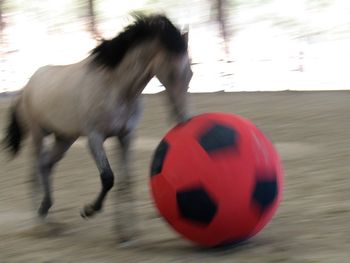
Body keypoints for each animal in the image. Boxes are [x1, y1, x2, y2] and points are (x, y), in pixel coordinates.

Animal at [1, 14, 193, 243]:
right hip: (39, 134)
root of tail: (26, 87)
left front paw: (126, 233)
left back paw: (47, 214)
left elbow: (127, 181)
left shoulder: (126, 137)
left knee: (46, 165)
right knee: (35, 171)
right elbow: (108, 178)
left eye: (190, 73)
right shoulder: (95, 138)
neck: (116, 88)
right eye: (172, 73)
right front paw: (89, 210)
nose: (184, 118)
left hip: (64, 138)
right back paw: (40, 224)